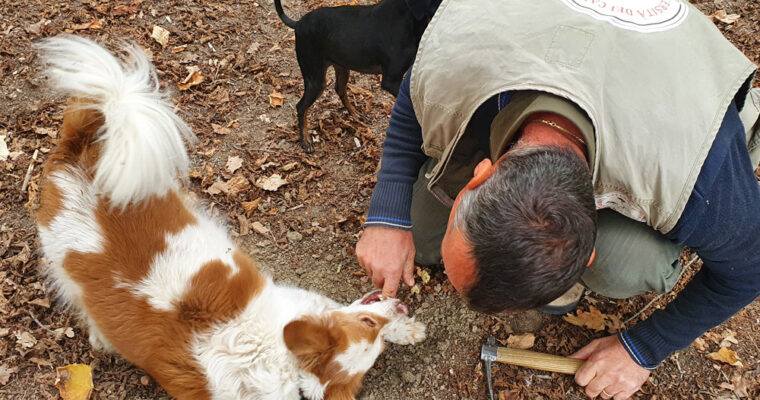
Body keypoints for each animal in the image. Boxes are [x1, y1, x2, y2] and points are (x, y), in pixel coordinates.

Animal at [35, 34, 424, 400]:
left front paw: (406, 329)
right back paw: (99, 334)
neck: (287, 361)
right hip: (65, 264)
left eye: (377, 345)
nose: (401, 303)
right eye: (366, 322)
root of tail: (75, 152)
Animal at [274, 0, 430, 152]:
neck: (408, 17)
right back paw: (305, 139)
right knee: (301, 107)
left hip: (342, 67)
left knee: (340, 90)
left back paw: (356, 114)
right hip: (316, 80)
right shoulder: (391, 81)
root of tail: (298, 24)